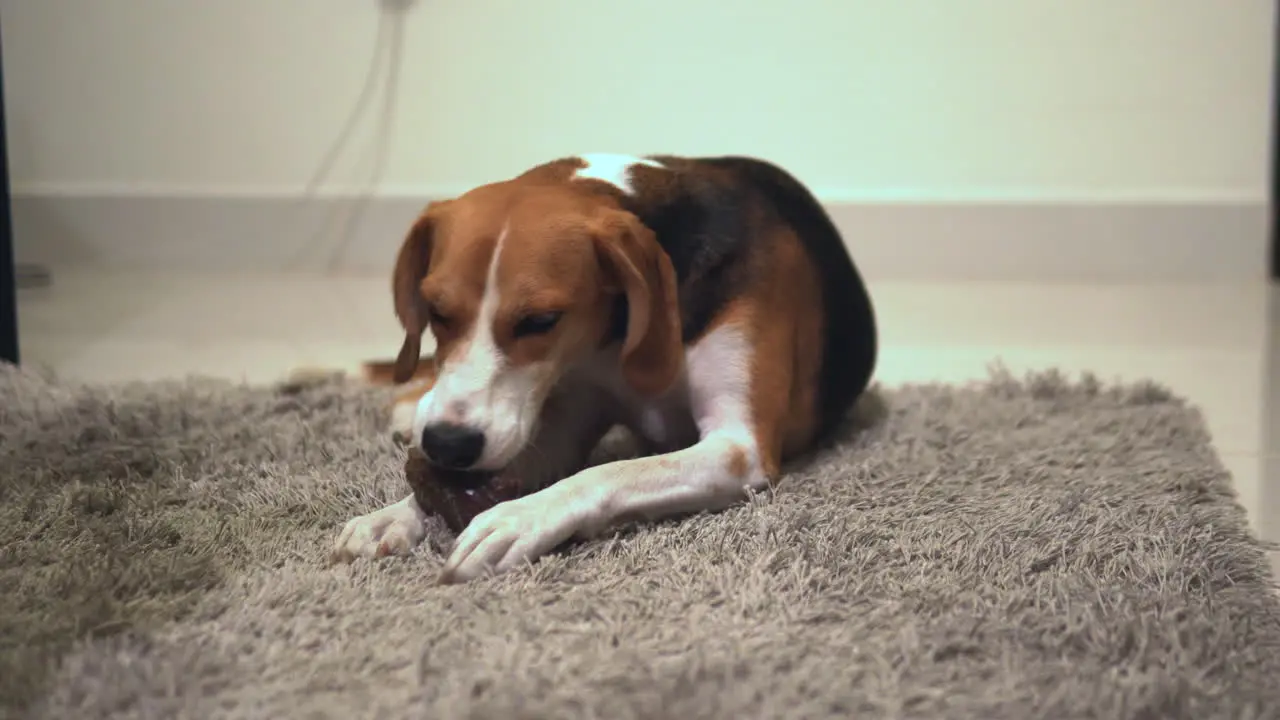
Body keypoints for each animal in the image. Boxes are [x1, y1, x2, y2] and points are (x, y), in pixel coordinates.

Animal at [327, 152, 880, 584]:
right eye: (436, 311)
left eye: (541, 321)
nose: (447, 443)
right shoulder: (569, 409)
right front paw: (395, 514)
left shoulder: (739, 449)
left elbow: (607, 472)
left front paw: (518, 518)